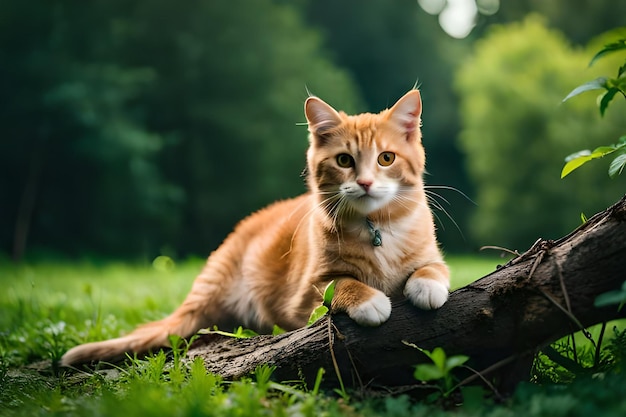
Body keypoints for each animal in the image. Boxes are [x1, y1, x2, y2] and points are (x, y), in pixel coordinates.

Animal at [59, 90, 448, 364]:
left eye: (386, 158)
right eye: (343, 160)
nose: (365, 183)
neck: (376, 226)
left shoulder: (429, 252)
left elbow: (433, 267)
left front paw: (427, 284)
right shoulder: (305, 293)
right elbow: (341, 282)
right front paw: (369, 300)